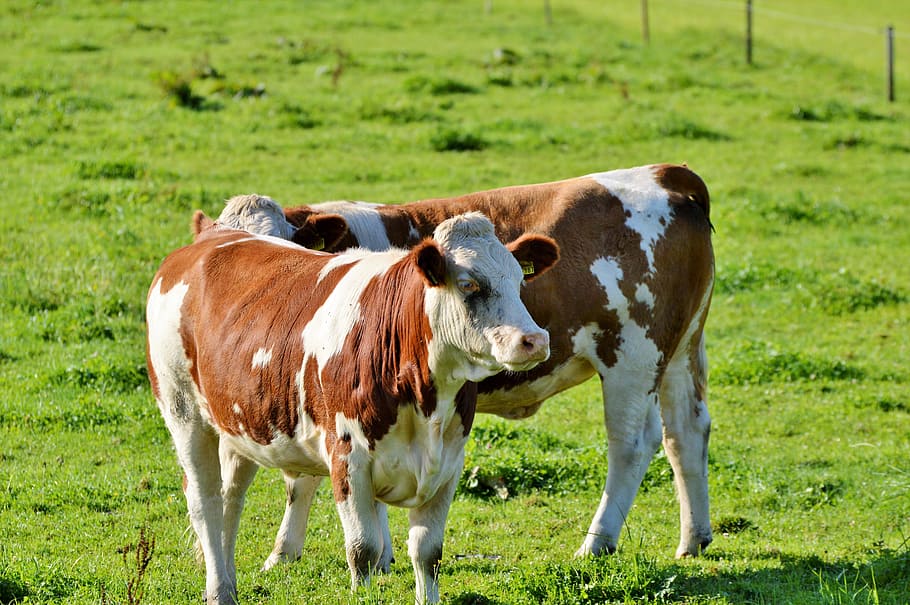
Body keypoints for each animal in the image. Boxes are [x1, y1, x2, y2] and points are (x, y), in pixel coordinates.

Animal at [146, 212, 559, 604]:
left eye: (518, 282)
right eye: (469, 283)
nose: (534, 340)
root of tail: (211, 237)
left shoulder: (449, 463)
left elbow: (428, 552)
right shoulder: (348, 458)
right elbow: (363, 550)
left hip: (239, 423)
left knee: (230, 500)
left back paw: (226, 584)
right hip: (182, 409)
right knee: (206, 500)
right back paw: (219, 591)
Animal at [238, 163, 713, 564]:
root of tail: (667, 174)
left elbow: (305, 479)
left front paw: (285, 553)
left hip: (632, 356)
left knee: (631, 443)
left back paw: (597, 543)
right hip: (680, 351)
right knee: (687, 431)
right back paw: (693, 538)